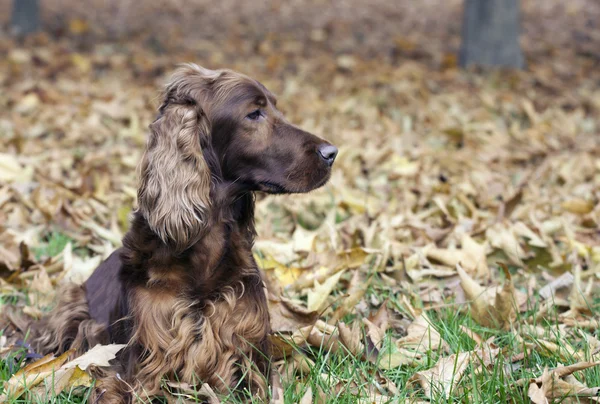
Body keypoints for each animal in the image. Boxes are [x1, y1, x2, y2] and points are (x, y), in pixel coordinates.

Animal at [31, 64, 338, 402]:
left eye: (275, 107)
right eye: (254, 113)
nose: (331, 152)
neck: (205, 252)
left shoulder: (249, 351)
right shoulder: (138, 368)